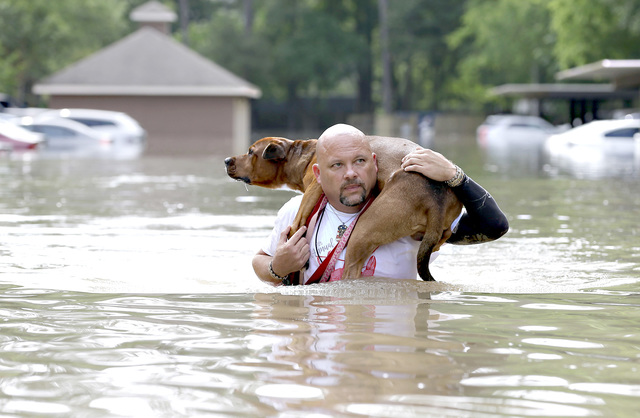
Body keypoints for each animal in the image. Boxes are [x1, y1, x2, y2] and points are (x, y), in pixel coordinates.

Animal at [225, 136, 460, 282]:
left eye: (250, 152)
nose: (227, 159)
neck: (302, 154)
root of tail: (435, 199)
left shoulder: (313, 188)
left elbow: (297, 222)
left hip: (362, 233)